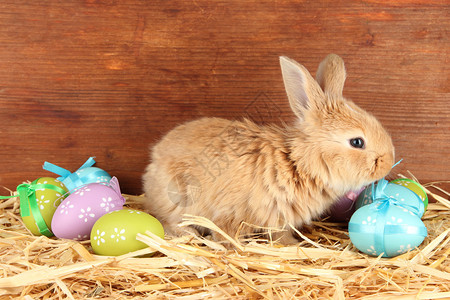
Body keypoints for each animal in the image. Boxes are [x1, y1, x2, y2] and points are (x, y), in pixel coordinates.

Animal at [143, 54, 394, 244]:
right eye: (357, 142)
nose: (389, 162)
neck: (297, 162)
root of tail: (152, 164)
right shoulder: (230, 213)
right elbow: (225, 233)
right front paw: (233, 247)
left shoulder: (280, 221)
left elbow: (280, 235)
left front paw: (291, 245)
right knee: (169, 221)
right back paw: (189, 233)